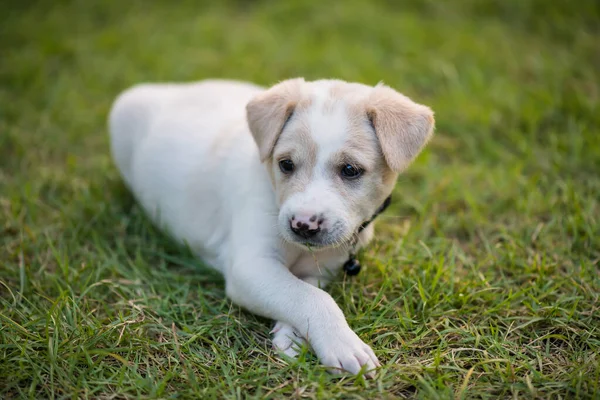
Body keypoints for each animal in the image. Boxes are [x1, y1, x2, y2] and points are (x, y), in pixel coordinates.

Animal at [108, 79, 434, 378]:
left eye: (350, 170)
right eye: (286, 164)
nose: (303, 225)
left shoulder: (322, 268)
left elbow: (304, 290)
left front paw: (291, 336)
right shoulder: (250, 266)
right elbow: (310, 298)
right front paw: (343, 345)